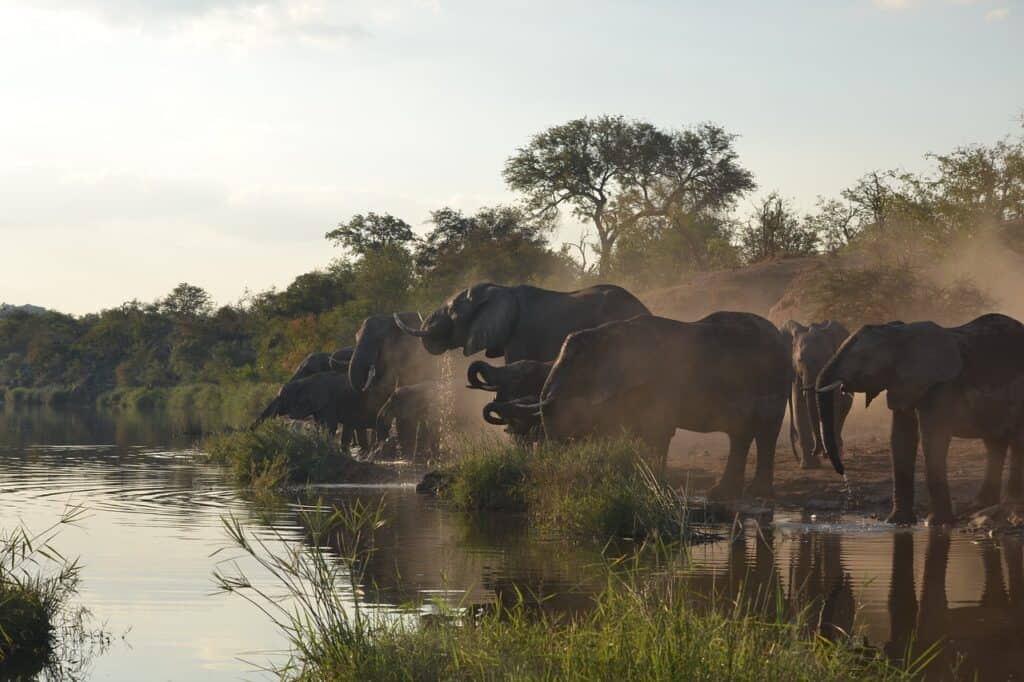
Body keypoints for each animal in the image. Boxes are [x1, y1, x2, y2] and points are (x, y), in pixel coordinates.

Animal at [495, 309, 790, 493]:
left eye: (570, 363)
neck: (608, 333)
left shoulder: (662, 381)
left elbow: (657, 430)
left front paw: (655, 485)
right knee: (741, 434)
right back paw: (723, 493)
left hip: (775, 382)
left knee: (765, 432)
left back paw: (756, 493)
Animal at [778, 319, 851, 466]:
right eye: (800, 360)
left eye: (829, 358)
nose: (816, 451)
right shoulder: (797, 373)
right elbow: (800, 405)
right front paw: (809, 466)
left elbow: (834, 404)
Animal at [819, 311, 1024, 522]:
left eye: (863, 357)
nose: (842, 471)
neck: (900, 333)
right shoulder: (901, 383)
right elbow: (900, 439)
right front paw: (896, 521)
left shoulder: (942, 386)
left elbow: (932, 439)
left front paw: (936, 523)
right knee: (994, 443)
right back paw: (980, 505)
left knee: (1016, 441)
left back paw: (1009, 504)